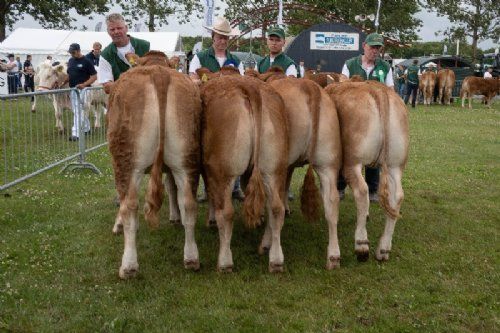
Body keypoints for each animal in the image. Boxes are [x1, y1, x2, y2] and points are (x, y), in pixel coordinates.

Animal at [108, 51, 203, 278]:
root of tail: (160, 73)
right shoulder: (171, 168)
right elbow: (171, 188)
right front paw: (175, 217)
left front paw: (117, 225)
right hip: (186, 158)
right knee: (189, 202)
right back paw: (191, 258)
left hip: (127, 161)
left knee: (129, 204)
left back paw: (128, 266)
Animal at [199, 74, 288, 270]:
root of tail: (250, 86)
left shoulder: (208, 169)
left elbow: (210, 193)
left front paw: (210, 220)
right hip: (274, 169)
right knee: (276, 208)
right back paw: (274, 257)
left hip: (223, 171)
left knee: (226, 213)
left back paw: (225, 262)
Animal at [324, 81, 410, 262]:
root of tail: (378, 89)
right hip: (396, 165)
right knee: (397, 197)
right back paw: (383, 249)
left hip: (352, 162)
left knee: (362, 191)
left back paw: (361, 244)